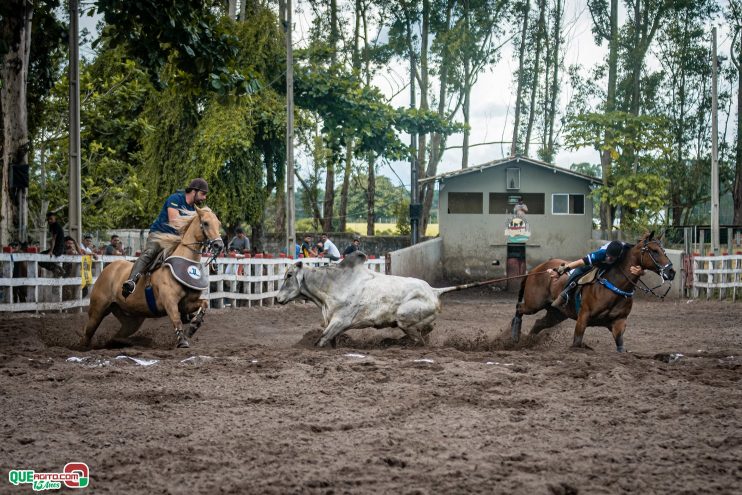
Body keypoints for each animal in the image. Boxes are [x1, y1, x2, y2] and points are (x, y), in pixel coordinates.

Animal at [83, 207, 224, 350]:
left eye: (218, 224)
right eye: (205, 223)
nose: (219, 245)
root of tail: (108, 268)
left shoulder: (186, 304)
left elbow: (204, 303)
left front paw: (194, 325)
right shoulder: (170, 302)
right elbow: (176, 319)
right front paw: (182, 341)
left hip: (132, 319)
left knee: (118, 334)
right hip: (97, 310)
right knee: (87, 333)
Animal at [276, 252, 462, 348]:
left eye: (289, 275)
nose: (277, 298)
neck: (333, 285)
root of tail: (433, 291)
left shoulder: (340, 321)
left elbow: (321, 340)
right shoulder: (332, 323)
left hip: (403, 317)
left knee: (420, 337)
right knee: (426, 330)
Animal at [516, 232, 676, 352]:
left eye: (664, 250)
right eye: (654, 251)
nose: (671, 271)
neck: (614, 285)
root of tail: (536, 269)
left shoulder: (619, 321)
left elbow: (620, 346)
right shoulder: (583, 316)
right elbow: (577, 342)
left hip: (557, 313)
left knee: (538, 323)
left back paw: (527, 342)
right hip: (534, 304)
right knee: (519, 309)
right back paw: (514, 335)